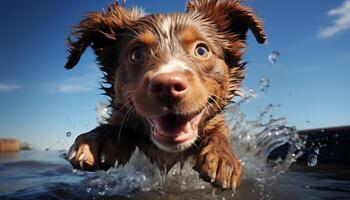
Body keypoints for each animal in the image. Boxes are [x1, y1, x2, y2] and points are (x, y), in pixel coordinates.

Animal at [64, 0, 266, 190]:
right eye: (136, 54)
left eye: (201, 50)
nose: (168, 85)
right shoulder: (122, 114)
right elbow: (116, 125)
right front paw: (95, 140)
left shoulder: (216, 119)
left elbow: (219, 132)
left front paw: (223, 157)